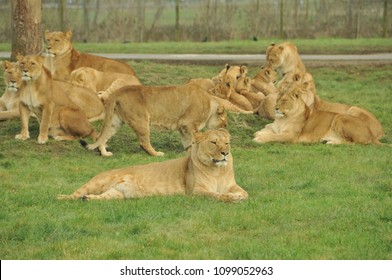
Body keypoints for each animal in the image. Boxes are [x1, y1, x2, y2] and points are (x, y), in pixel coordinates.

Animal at [58, 128, 248, 202]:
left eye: (227, 143)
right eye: (214, 143)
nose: (225, 153)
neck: (217, 171)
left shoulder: (232, 184)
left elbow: (246, 193)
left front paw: (238, 196)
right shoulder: (195, 191)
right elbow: (216, 195)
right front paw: (231, 198)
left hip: (116, 194)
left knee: (101, 197)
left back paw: (87, 199)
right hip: (97, 182)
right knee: (75, 194)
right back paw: (61, 197)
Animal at [84, 83, 253, 158]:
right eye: (224, 122)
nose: (226, 128)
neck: (209, 102)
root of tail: (118, 91)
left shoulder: (183, 127)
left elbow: (188, 142)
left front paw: (188, 153)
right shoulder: (189, 123)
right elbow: (197, 138)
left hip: (115, 121)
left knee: (101, 136)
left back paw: (105, 153)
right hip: (141, 120)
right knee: (143, 142)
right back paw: (156, 153)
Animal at [253, 85, 382, 144]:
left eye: (284, 100)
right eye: (277, 100)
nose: (276, 108)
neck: (282, 118)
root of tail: (372, 134)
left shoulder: (290, 136)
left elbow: (274, 136)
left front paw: (259, 138)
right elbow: (270, 130)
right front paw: (260, 132)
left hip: (341, 116)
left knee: (353, 143)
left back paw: (332, 143)